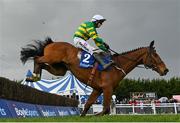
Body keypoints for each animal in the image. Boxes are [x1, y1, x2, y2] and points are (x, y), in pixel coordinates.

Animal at [20, 37, 168, 115]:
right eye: (155, 55)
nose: (165, 70)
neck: (117, 65)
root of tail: (51, 43)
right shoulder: (107, 88)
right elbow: (105, 109)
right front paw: (95, 114)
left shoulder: (98, 89)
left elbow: (87, 106)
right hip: (52, 58)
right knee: (37, 58)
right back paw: (33, 76)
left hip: (60, 69)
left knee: (42, 64)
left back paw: (35, 77)